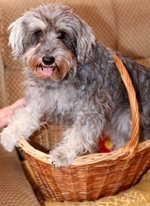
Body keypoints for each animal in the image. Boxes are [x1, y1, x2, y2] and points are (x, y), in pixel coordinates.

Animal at [0, 3, 150, 167]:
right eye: (38, 32)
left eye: (62, 34)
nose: (48, 59)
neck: (59, 80)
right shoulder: (39, 102)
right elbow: (25, 115)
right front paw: (9, 135)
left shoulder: (89, 111)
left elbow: (79, 134)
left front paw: (62, 153)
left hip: (128, 123)